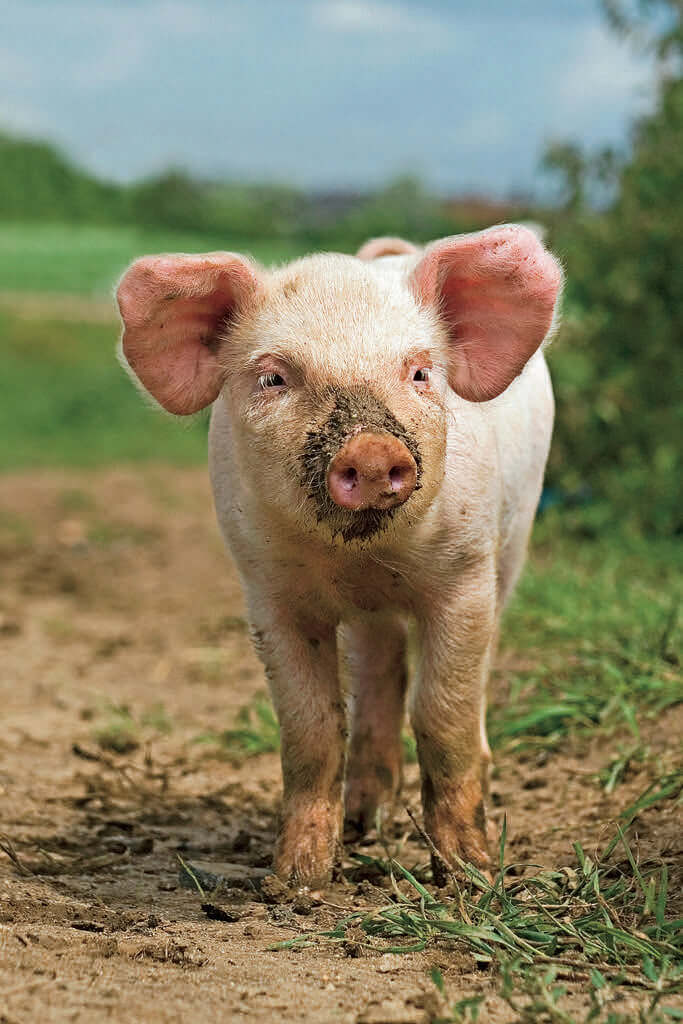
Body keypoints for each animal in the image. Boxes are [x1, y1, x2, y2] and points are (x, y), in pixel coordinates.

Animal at [117, 225, 562, 887]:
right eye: (274, 378)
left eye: (420, 371)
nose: (373, 451)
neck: (364, 560)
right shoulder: (268, 594)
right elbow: (312, 728)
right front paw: (296, 881)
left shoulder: (465, 574)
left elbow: (442, 715)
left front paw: (471, 875)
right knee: (380, 667)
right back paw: (362, 823)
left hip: (515, 538)